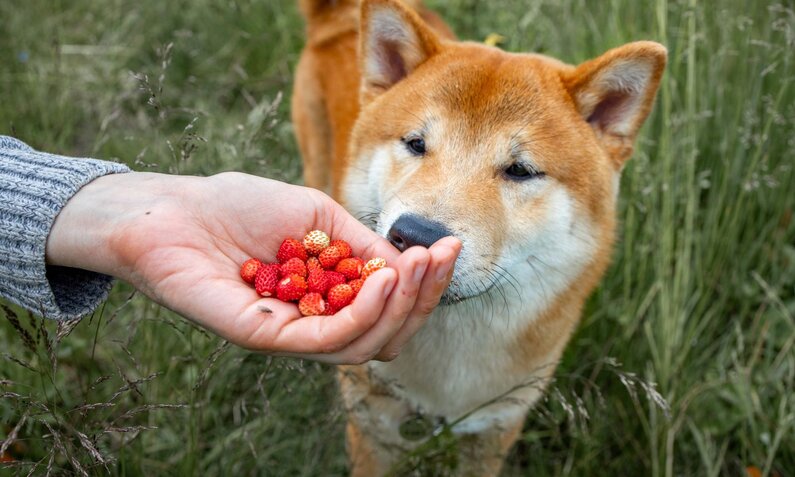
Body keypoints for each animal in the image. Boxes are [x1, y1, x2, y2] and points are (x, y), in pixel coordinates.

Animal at [292, 0, 664, 472]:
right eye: (416, 144)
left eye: (520, 170)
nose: (417, 235)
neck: (447, 382)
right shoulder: (374, 428)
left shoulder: (494, 430)